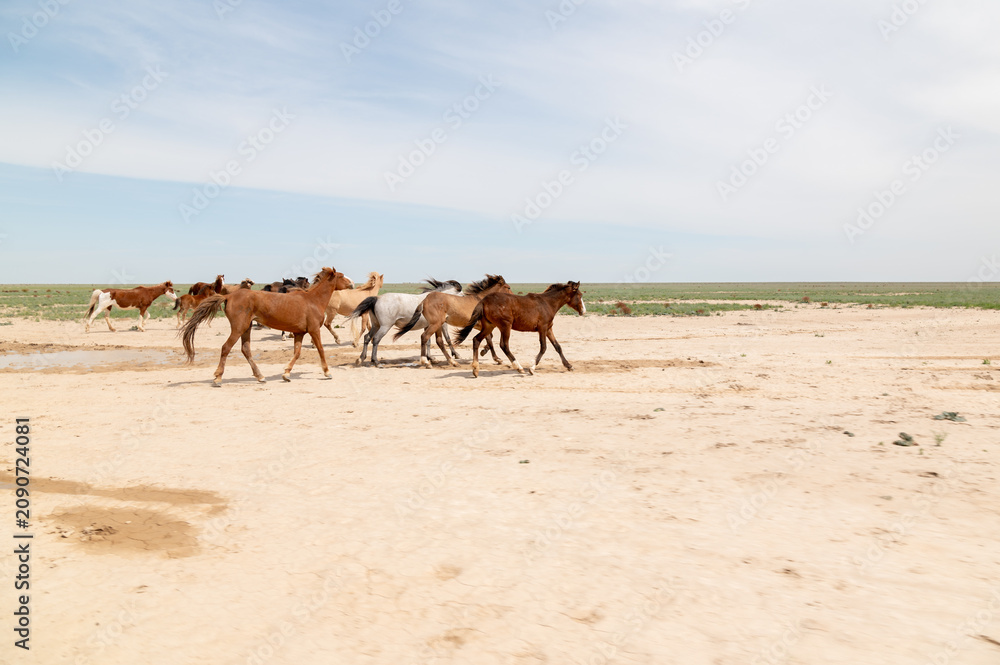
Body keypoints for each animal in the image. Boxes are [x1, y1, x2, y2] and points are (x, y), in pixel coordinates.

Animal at [181, 267, 345, 386]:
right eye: (342, 276)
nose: (350, 283)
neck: (313, 300)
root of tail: (228, 296)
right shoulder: (314, 330)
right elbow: (320, 349)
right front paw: (327, 372)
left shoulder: (299, 333)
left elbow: (297, 353)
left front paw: (286, 374)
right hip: (238, 328)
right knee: (226, 348)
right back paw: (218, 378)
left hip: (246, 328)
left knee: (245, 349)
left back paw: (260, 376)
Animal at [454, 281, 585, 378]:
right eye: (579, 295)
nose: (583, 311)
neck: (547, 303)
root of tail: (483, 301)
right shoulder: (542, 328)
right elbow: (543, 347)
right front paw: (532, 368)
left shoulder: (548, 329)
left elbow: (558, 346)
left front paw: (569, 366)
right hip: (505, 326)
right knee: (504, 345)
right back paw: (519, 368)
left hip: (489, 325)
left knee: (476, 340)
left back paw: (476, 369)